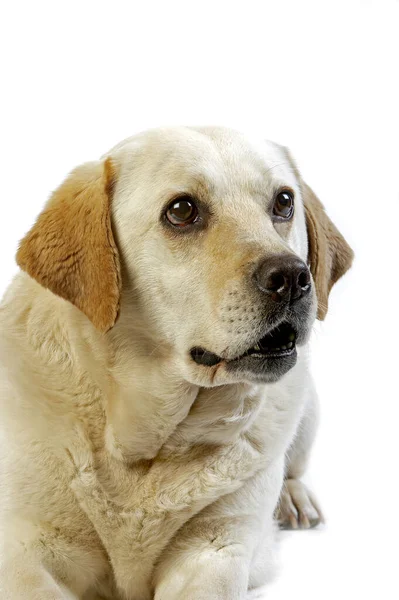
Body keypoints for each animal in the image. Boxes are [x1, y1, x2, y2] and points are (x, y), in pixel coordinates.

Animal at [0, 125, 354, 596]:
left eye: (283, 202)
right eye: (182, 210)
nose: (294, 277)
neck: (147, 447)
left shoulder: (214, 549)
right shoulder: (25, 547)